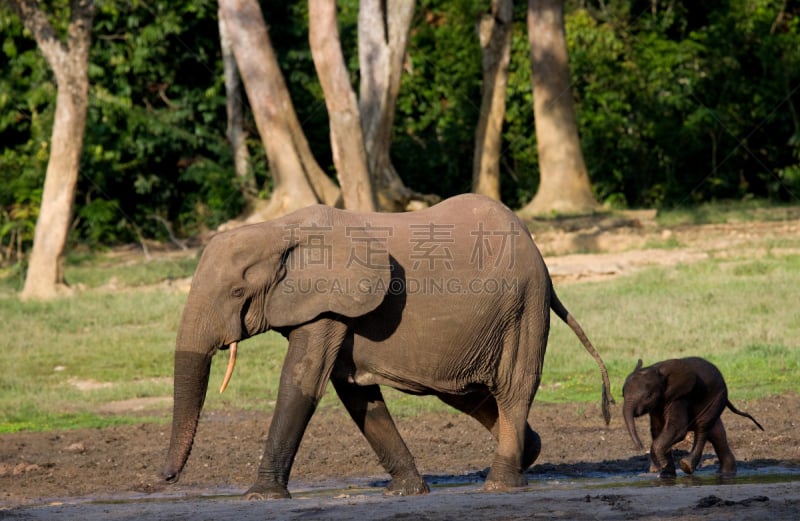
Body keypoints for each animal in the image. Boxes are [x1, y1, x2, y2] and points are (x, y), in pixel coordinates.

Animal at [162, 193, 612, 498]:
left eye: (238, 291)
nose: (165, 478)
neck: (277, 229)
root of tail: (541, 256)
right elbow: (356, 394)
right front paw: (406, 492)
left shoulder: (328, 303)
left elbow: (301, 384)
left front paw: (260, 497)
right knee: (464, 393)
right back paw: (529, 453)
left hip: (524, 306)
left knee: (513, 388)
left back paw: (500, 484)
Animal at [620, 358, 764, 476]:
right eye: (622, 394)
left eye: (648, 396)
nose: (640, 447)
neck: (656, 369)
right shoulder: (657, 405)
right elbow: (658, 430)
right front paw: (666, 473)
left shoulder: (679, 398)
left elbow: (677, 430)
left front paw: (663, 466)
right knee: (716, 433)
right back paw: (726, 472)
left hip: (716, 398)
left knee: (703, 428)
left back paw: (687, 466)